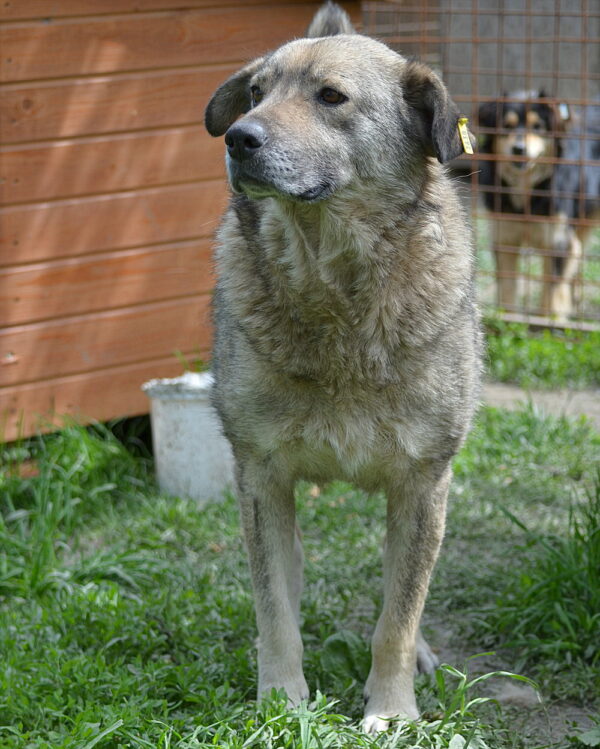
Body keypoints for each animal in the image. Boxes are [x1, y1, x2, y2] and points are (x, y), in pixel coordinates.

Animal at [204, 1, 480, 732]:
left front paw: (392, 710)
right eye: (256, 92)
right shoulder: (262, 478)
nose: (237, 138)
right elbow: (275, 610)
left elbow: (397, 620)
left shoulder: (422, 483)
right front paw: (280, 701)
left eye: (331, 97)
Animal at [478, 91, 600, 318]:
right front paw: (508, 317)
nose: (518, 149)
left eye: (537, 127)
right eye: (506, 126)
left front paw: (549, 320)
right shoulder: (505, 236)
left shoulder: (558, 240)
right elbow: (507, 286)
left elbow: (551, 289)